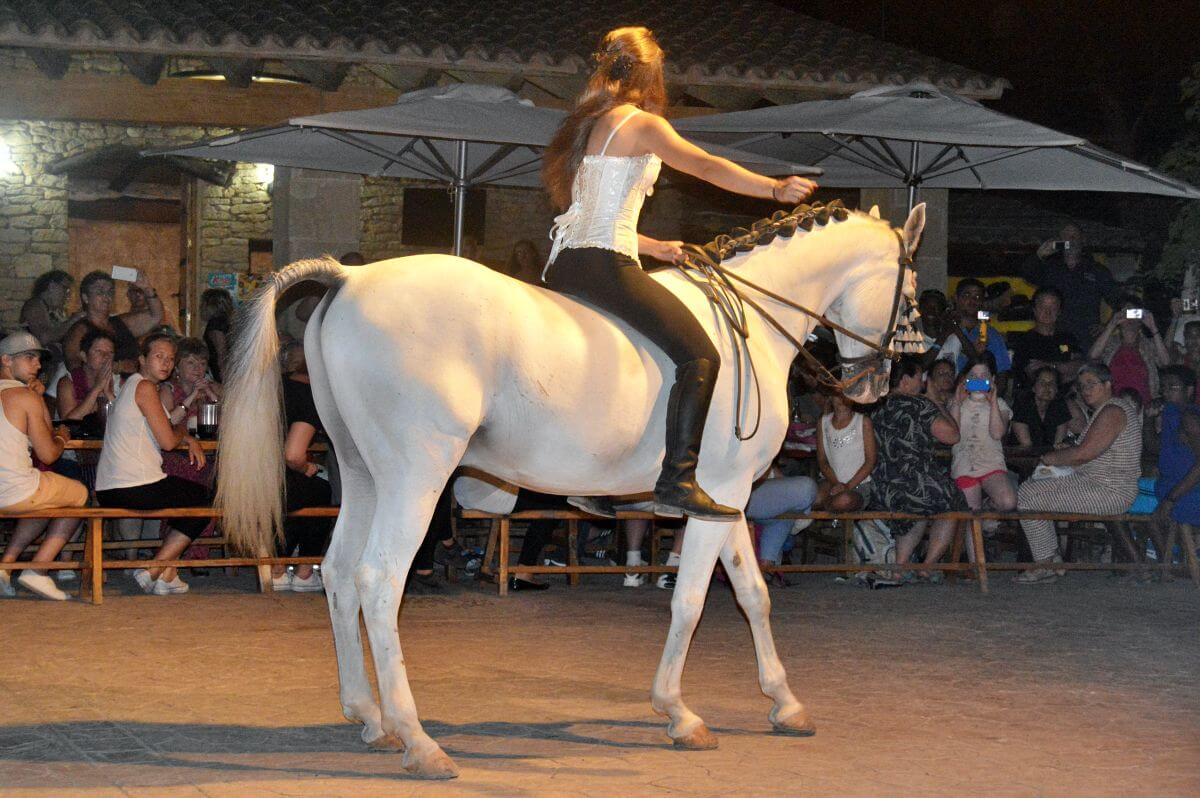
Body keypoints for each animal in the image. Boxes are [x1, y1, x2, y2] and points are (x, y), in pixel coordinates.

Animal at [216, 200, 926, 777]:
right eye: (911, 292)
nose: (874, 386)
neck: (746, 322)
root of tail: (350, 278)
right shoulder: (718, 494)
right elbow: (691, 601)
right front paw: (680, 714)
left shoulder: (725, 500)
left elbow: (752, 595)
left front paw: (784, 703)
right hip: (416, 479)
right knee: (380, 581)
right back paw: (419, 741)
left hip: (365, 475)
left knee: (339, 573)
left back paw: (369, 717)